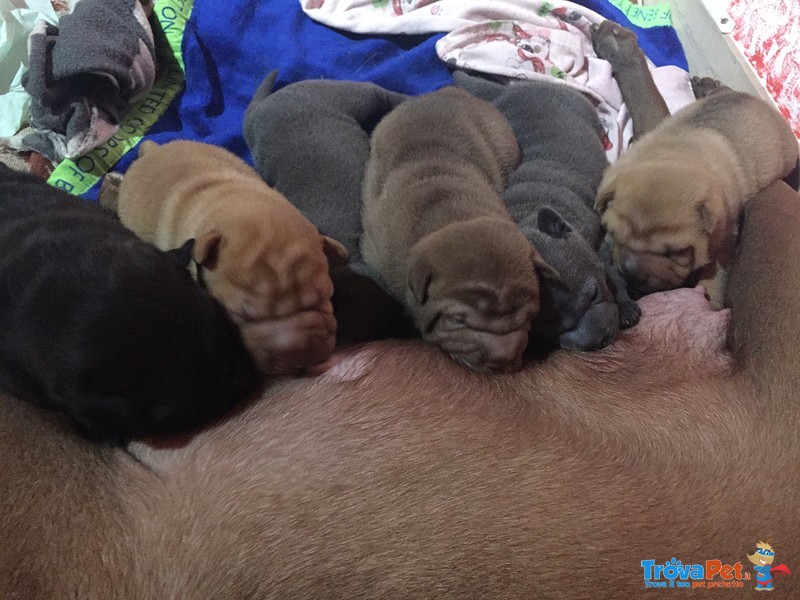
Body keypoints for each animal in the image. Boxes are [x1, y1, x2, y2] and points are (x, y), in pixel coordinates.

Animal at [596, 91, 796, 308]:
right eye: (612, 233)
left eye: (677, 253)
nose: (631, 273)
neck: (677, 154)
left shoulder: (722, 240)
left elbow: (714, 275)